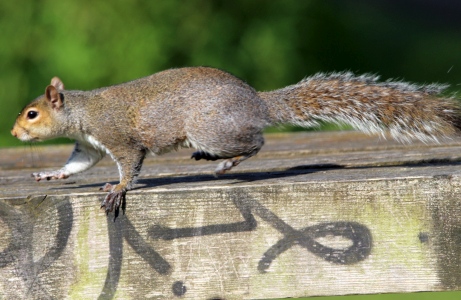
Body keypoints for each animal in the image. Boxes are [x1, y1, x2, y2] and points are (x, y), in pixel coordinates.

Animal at [9, 66, 460, 216]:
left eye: (32, 114)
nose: (14, 132)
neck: (82, 113)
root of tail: (257, 102)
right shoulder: (88, 145)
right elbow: (75, 165)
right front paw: (50, 175)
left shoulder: (119, 139)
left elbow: (130, 164)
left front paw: (118, 188)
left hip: (213, 128)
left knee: (257, 142)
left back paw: (226, 162)